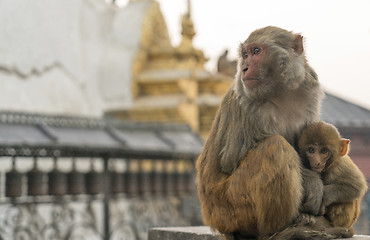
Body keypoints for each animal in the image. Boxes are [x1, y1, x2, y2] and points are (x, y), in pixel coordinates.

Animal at [197, 25, 350, 238]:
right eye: (245, 54)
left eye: (256, 51)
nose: (244, 68)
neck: (280, 92)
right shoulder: (246, 102)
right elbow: (231, 160)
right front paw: (313, 182)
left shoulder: (310, 90)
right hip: (229, 207)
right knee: (275, 147)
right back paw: (280, 232)